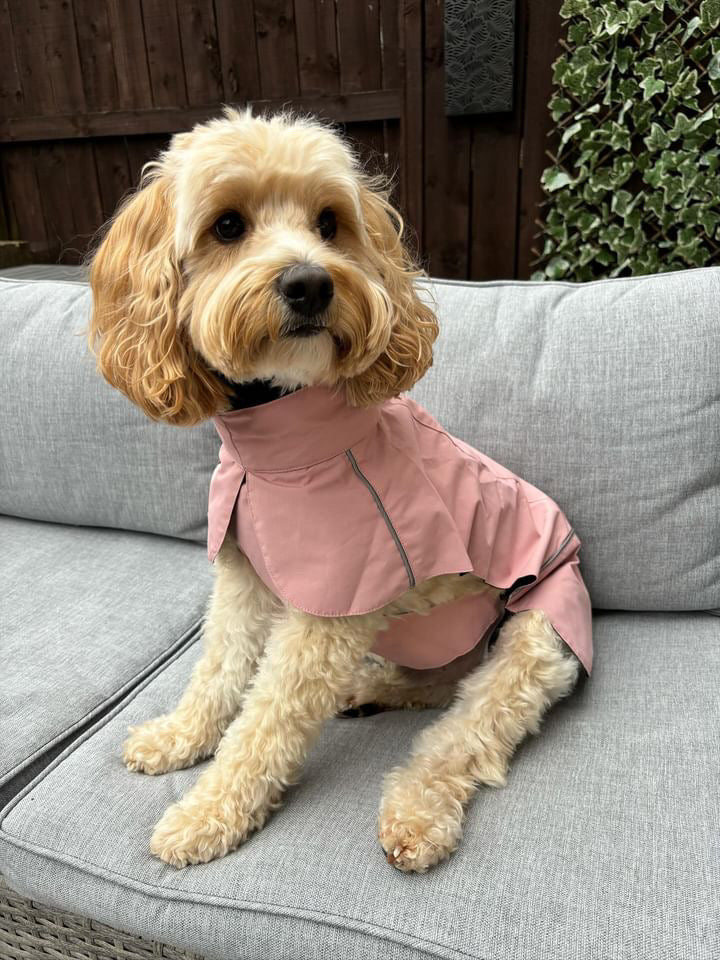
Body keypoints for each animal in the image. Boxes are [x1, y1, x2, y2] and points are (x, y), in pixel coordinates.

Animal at [88, 109, 592, 872]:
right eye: (227, 225)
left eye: (330, 222)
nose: (310, 284)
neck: (277, 453)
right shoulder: (243, 576)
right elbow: (218, 669)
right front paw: (179, 737)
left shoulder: (326, 617)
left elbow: (266, 722)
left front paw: (207, 813)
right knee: (433, 685)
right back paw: (369, 688)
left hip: (532, 642)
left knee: (464, 734)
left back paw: (416, 813)